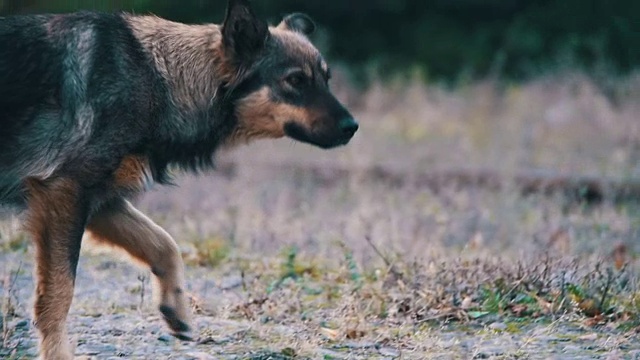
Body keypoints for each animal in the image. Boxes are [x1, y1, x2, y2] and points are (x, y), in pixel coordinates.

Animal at [0, 0, 358, 358]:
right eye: (295, 80)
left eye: (326, 79)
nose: (352, 127)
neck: (159, 78)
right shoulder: (65, 193)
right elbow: (59, 293)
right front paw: (57, 351)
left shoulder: (101, 202)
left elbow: (163, 244)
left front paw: (176, 308)